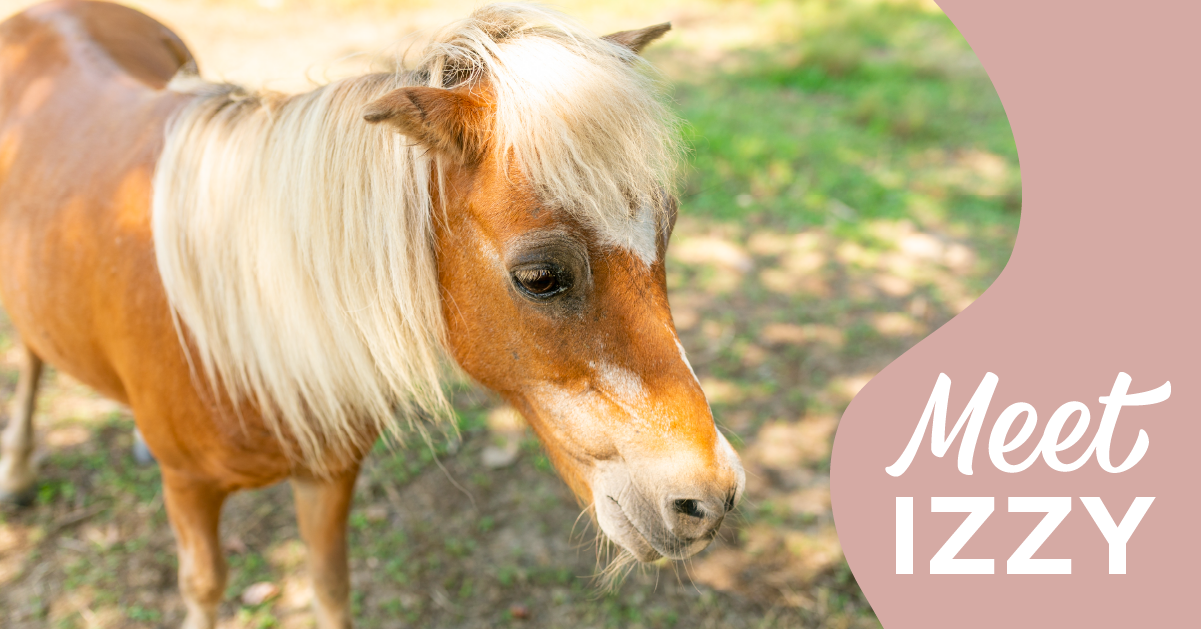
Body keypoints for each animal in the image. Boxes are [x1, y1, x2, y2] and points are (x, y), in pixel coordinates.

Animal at [0, 1, 745, 627]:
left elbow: (330, 586)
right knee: (32, 355)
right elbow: (205, 588)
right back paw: (17, 470)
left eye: (667, 231)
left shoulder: (328, 475)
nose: (708, 499)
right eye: (539, 277)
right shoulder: (188, 491)